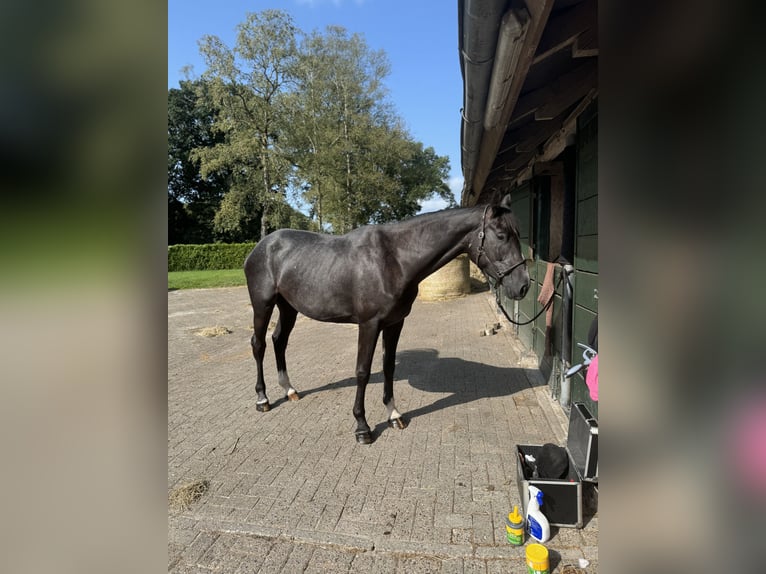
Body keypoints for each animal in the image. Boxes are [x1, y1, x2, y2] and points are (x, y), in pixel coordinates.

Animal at [243, 195, 532, 446]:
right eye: (502, 235)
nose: (523, 286)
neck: (393, 259)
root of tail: (261, 246)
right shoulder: (368, 325)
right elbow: (362, 371)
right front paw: (362, 428)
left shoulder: (395, 323)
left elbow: (389, 367)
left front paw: (394, 415)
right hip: (263, 305)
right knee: (259, 344)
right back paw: (262, 399)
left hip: (288, 307)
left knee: (279, 340)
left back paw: (289, 390)